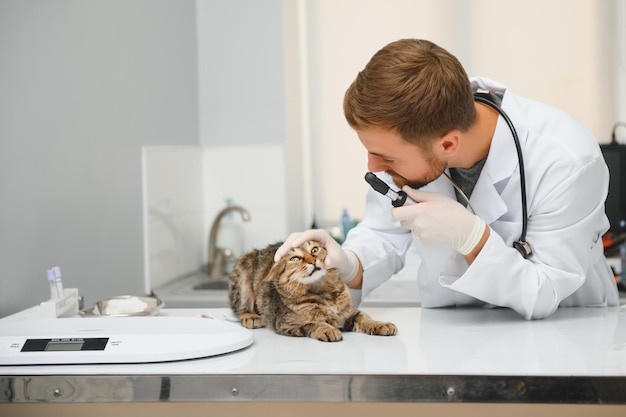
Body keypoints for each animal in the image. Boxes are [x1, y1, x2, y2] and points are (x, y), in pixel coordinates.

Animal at [228, 240, 394, 342]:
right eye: (295, 258)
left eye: (314, 249)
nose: (312, 260)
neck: (325, 294)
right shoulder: (287, 324)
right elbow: (312, 323)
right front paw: (327, 329)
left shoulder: (348, 314)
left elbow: (364, 317)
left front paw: (380, 324)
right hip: (244, 269)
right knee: (239, 308)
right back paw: (250, 317)